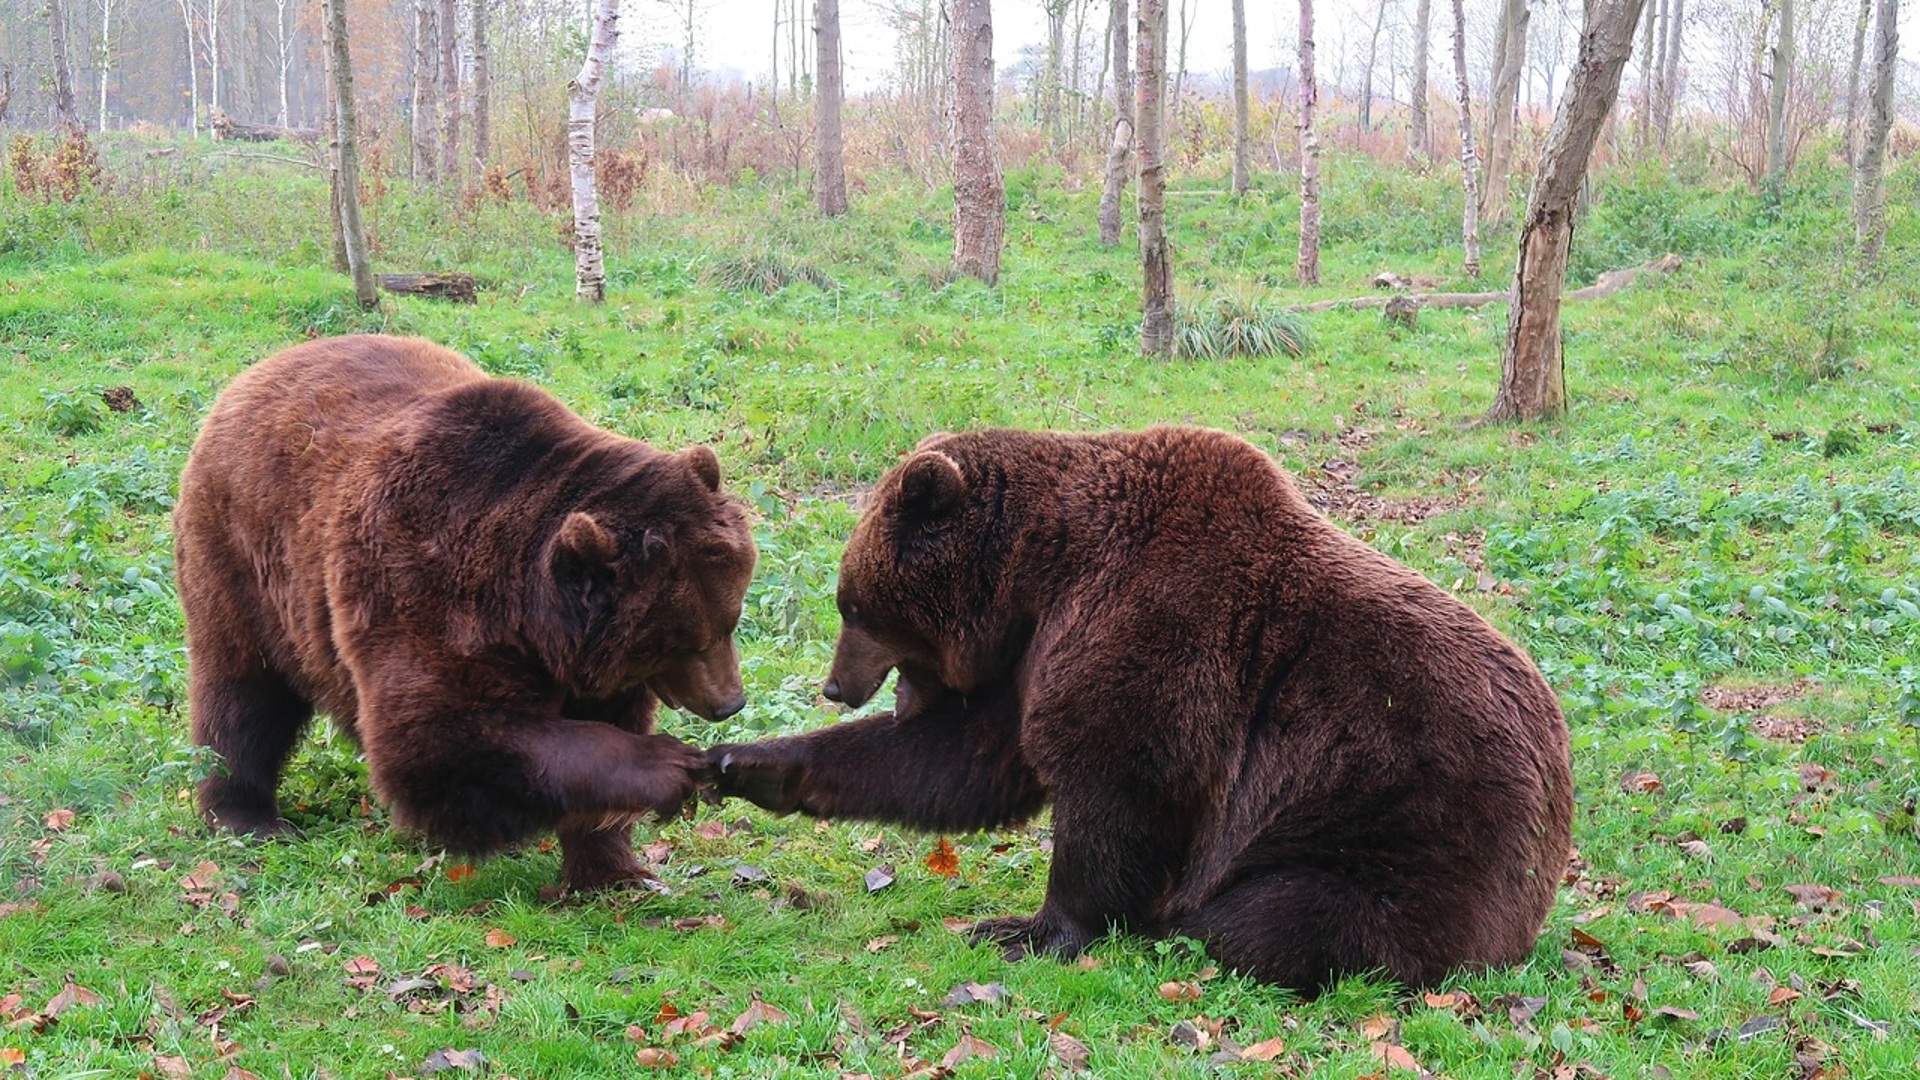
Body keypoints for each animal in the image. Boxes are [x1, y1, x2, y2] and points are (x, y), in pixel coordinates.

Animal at [174, 336, 756, 891]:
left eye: (730, 620)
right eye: (685, 642)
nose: (730, 702)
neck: (529, 616)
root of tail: (257, 372)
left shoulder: (589, 660)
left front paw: (612, 870)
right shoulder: (424, 589)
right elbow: (439, 739)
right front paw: (667, 766)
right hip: (244, 561)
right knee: (243, 693)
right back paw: (245, 815)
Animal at [710, 424, 1574, 991]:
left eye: (852, 604)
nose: (835, 685)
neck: (1041, 570)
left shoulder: (1155, 629)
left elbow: (1121, 786)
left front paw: (1026, 929)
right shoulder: (1034, 658)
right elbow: (963, 760)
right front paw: (748, 762)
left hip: (1401, 826)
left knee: (1279, 920)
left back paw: (1192, 926)